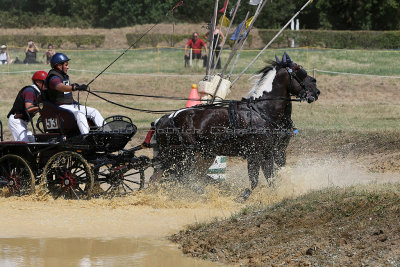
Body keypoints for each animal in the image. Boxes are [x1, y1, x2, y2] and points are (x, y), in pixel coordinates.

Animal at [152, 54, 320, 193]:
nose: (316, 90)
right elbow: (256, 179)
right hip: (183, 156)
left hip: (195, 155)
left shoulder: (270, 151)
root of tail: (165, 118)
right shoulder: (256, 153)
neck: (261, 110)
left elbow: (270, 178)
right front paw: (246, 196)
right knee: (174, 177)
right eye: (300, 71)